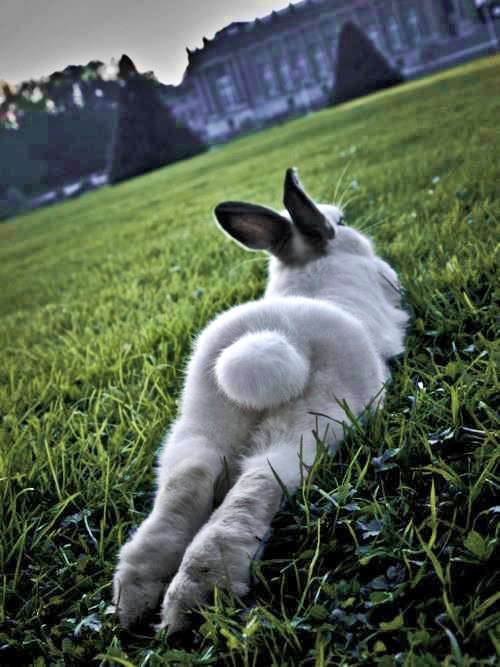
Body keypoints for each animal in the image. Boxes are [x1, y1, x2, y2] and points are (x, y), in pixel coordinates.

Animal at [111, 168, 409, 633]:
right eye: (340, 221)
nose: (350, 225)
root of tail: (274, 332)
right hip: (315, 421)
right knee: (258, 481)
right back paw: (199, 593)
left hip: (200, 420)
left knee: (190, 478)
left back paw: (137, 596)